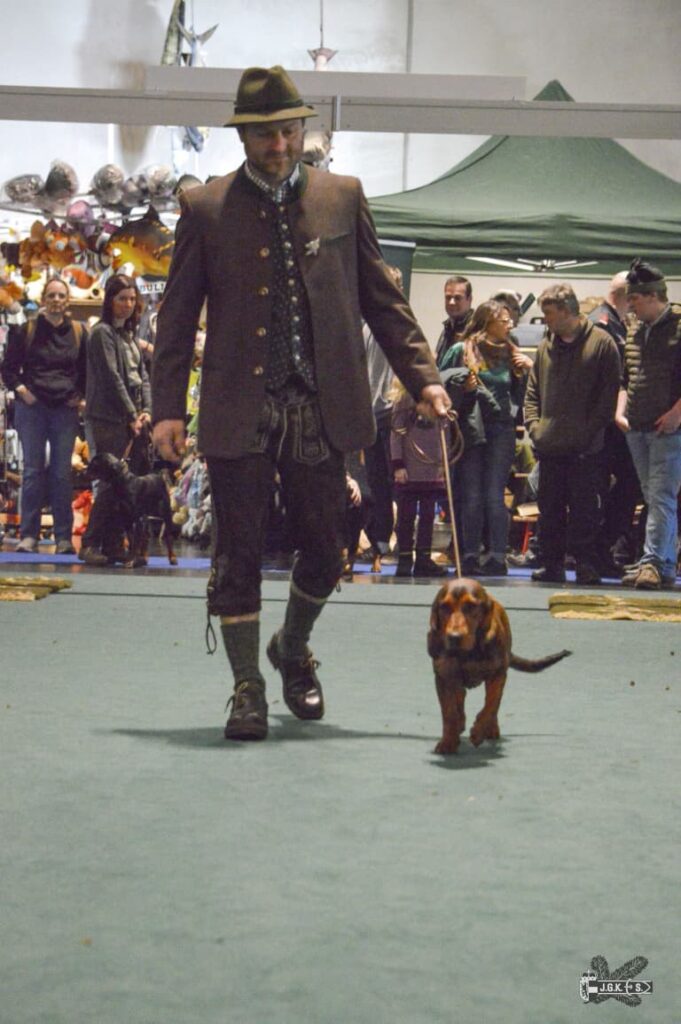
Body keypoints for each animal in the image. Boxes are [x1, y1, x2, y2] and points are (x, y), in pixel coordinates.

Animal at [430, 581, 569, 757]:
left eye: (471, 606)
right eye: (444, 607)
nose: (454, 637)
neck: (468, 653)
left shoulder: (498, 674)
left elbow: (491, 705)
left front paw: (479, 731)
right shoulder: (444, 677)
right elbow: (449, 712)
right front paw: (448, 742)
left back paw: (490, 729)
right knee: (460, 697)